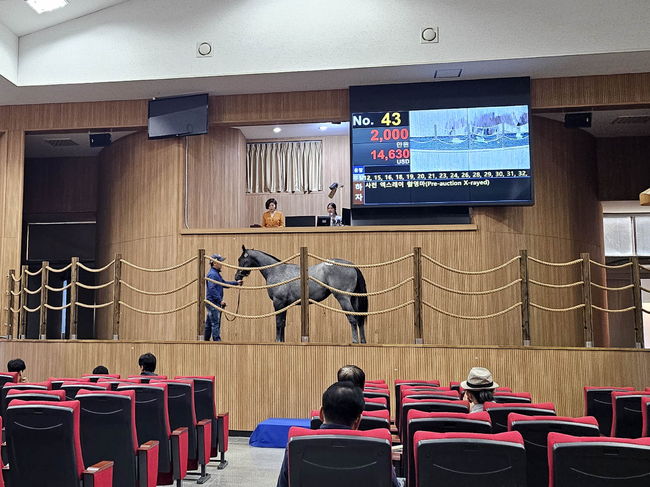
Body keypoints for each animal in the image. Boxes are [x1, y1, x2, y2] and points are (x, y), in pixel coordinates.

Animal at [233, 246, 368, 346]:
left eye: (240, 260)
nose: (237, 276)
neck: (277, 271)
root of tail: (351, 265)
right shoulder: (284, 304)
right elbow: (283, 322)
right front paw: (282, 341)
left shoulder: (278, 302)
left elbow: (278, 322)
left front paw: (277, 341)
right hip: (353, 299)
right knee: (359, 318)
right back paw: (362, 341)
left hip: (343, 298)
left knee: (352, 318)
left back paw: (355, 341)